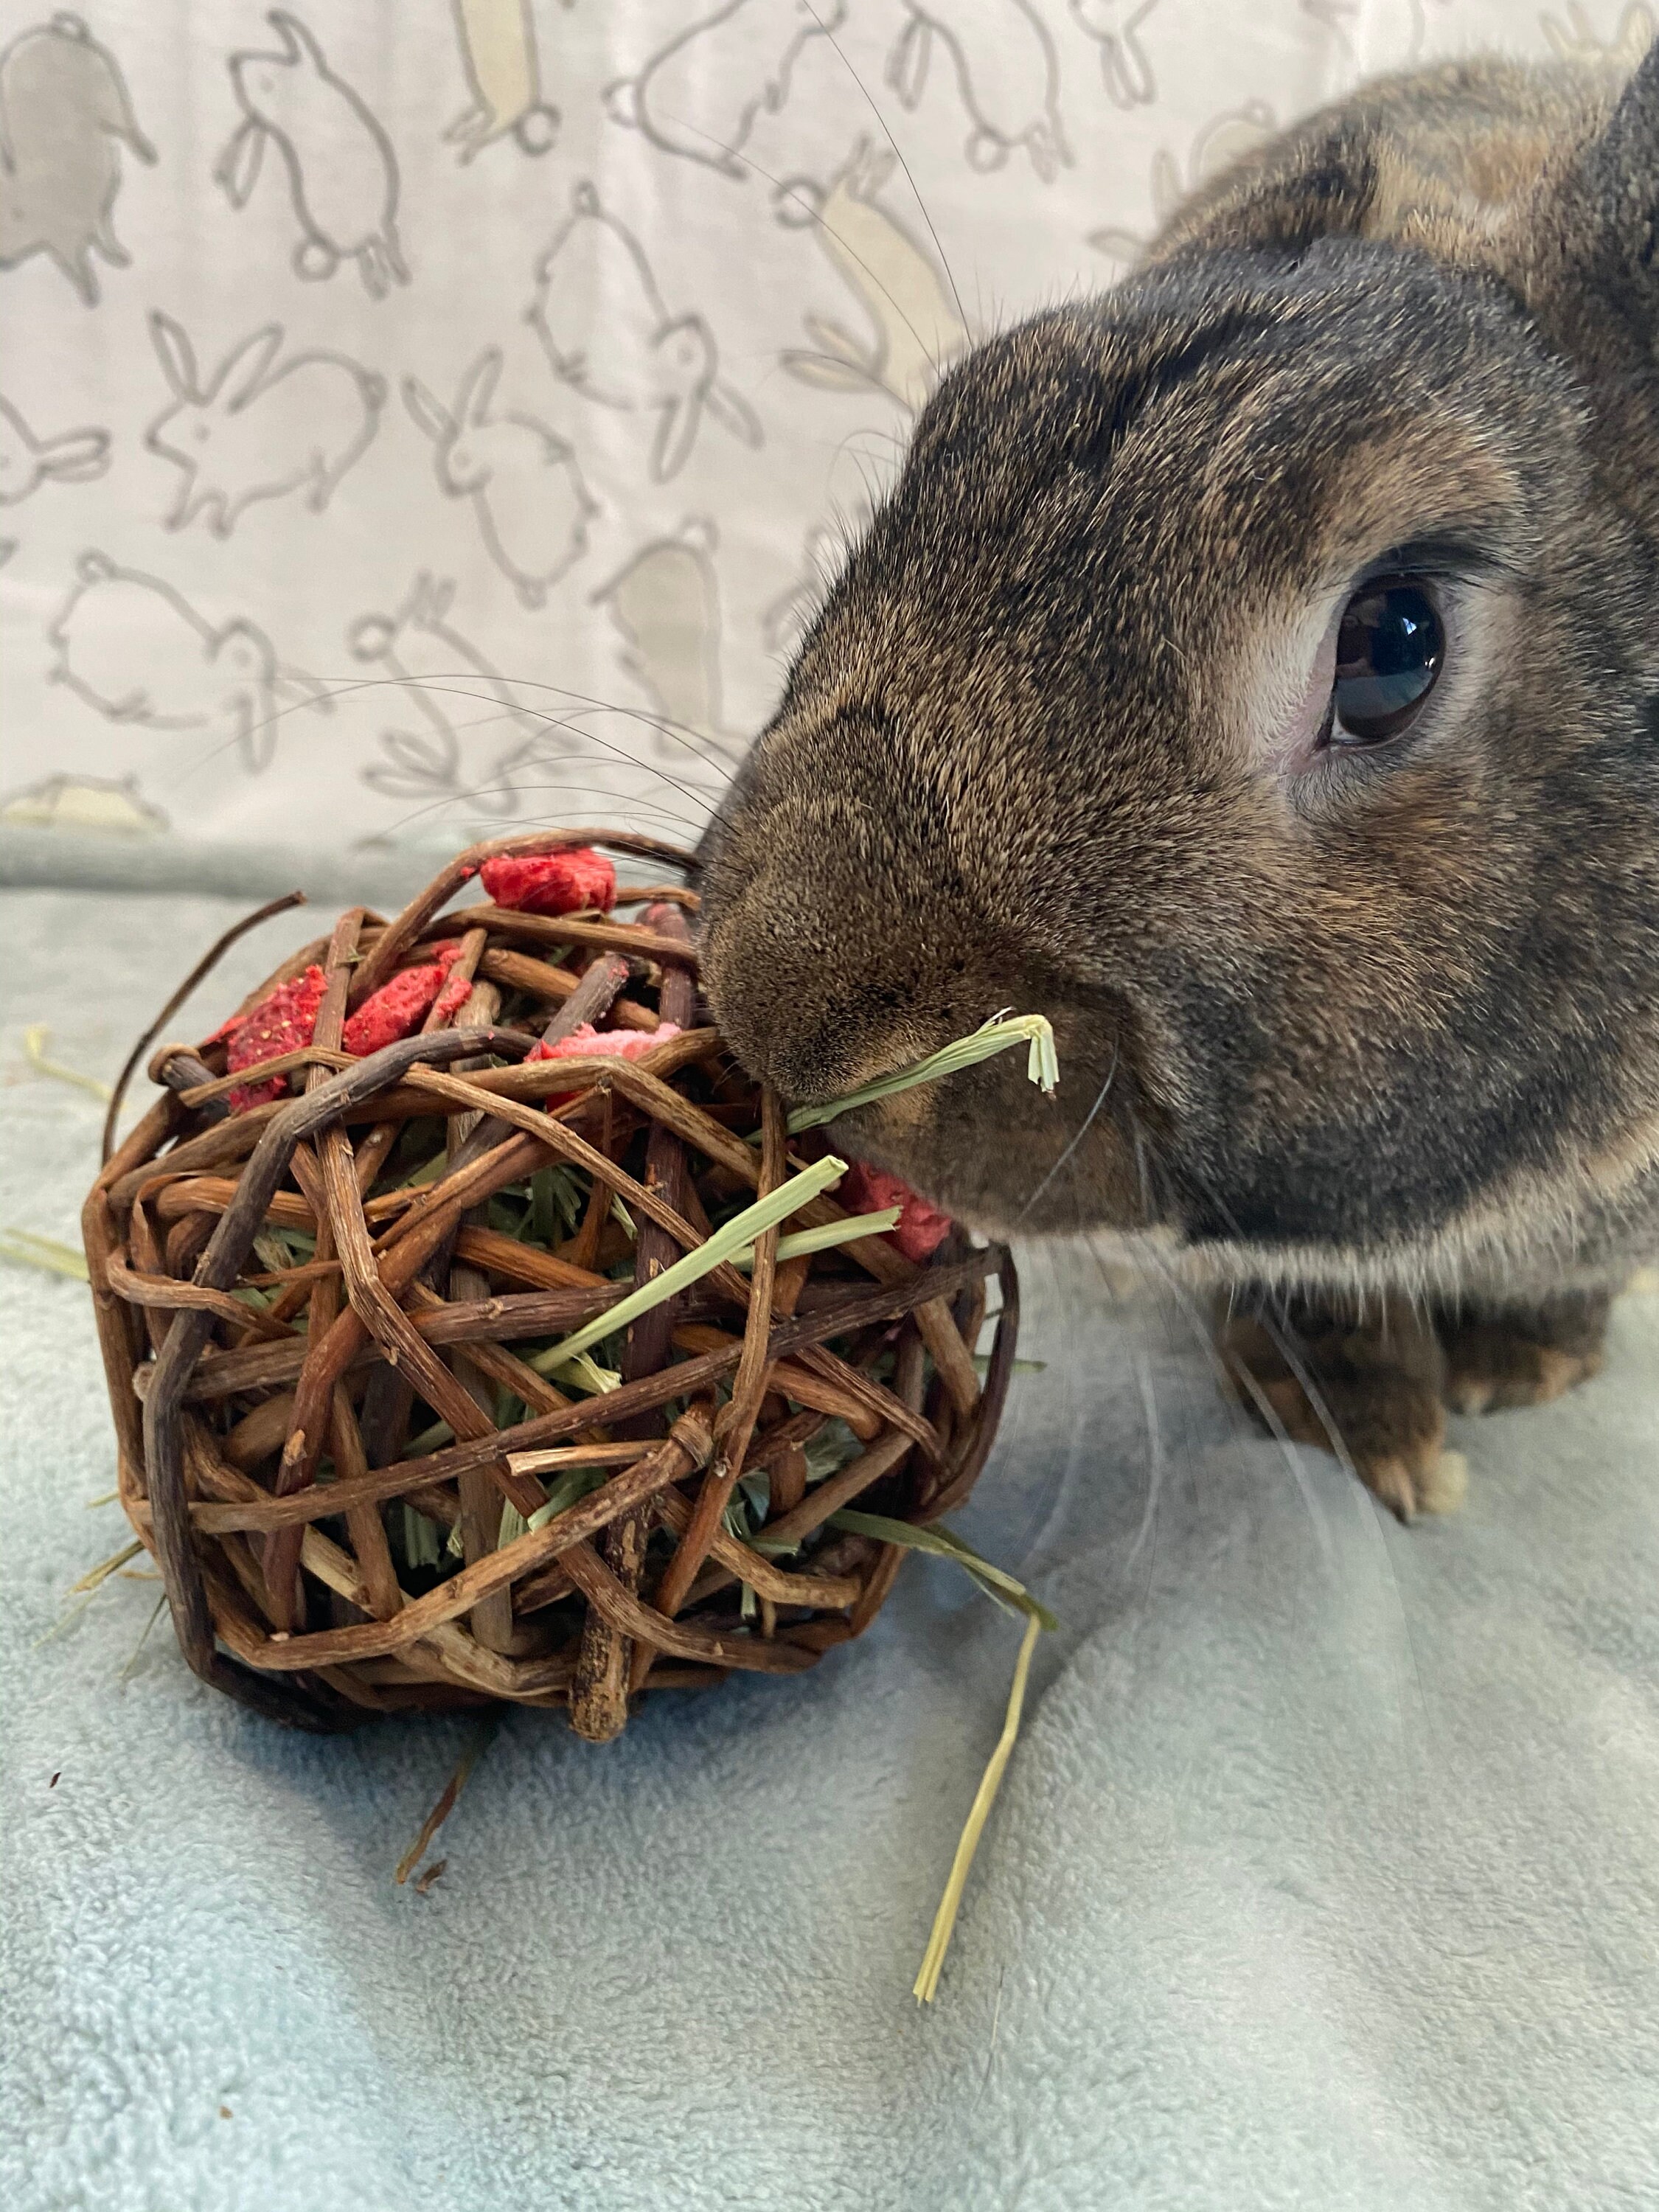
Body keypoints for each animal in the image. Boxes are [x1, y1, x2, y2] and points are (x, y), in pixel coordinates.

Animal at [0, 12, 155, 305]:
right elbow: (99, 238)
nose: (5, 263)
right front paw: (118, 260)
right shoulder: (83, 221)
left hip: (108, 89)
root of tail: (60, 35)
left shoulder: (66, 235)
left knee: (125, 123)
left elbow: (78, 260)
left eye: (14, 216)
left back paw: (149, 155)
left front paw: (93, 294)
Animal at [144, 312, 385, 537]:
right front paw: (176, 520)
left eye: (201, 433)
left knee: (327, 473)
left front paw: (220, 526)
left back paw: (316, 498)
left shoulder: (231, 490)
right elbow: (192, 501)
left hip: (335, 451)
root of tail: (362, 381)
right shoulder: (201, 483)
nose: (153, 438)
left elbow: (225, 507)